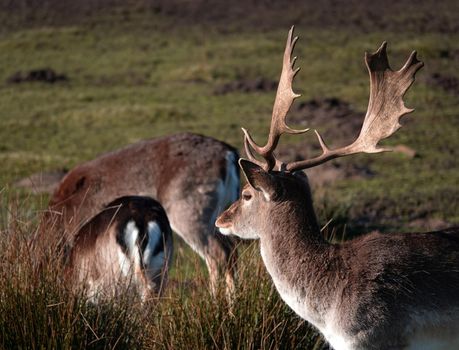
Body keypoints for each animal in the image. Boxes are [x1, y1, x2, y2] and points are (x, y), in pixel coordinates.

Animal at [46, 133, 241, 300]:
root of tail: (230, 155)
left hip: (189, 212)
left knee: (218, 254)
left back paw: (215, 301)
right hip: (223, 215)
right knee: (232, 250)